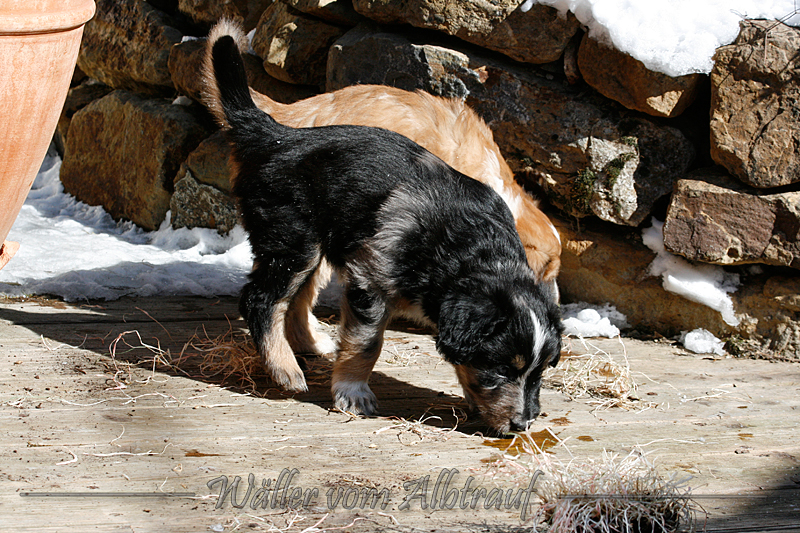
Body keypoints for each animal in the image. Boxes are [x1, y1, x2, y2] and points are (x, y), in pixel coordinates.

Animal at [203, 21, 563, 435]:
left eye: (540, 373)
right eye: (502, 368)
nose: (523, 425)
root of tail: (277, 131)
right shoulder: (370, 275)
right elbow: (366, 342)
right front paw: (353, 393)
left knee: (294, 298)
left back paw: (310, 346)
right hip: (293, 237)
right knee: (262, 299)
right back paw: (285, 369)